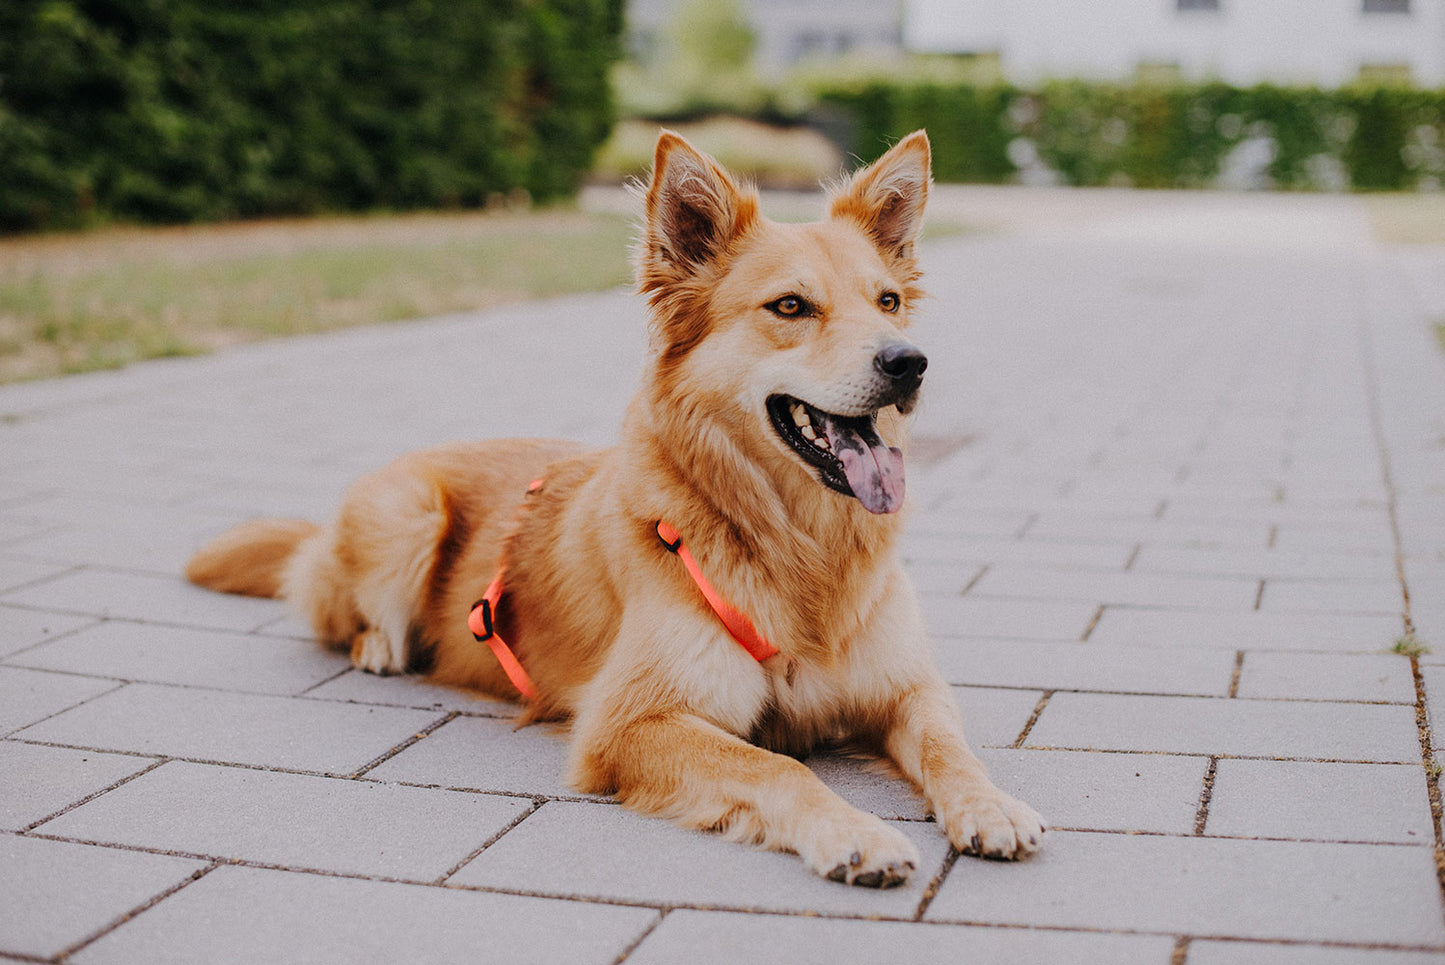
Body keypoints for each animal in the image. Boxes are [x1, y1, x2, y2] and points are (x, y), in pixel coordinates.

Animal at [189, 130, 1051, 889]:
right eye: (790, 307)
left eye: (888, 301)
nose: (908, 363)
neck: (792, 544)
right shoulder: (629, 721)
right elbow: (774, 763)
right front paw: (853, 832)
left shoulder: (908, 688)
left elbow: (949, 746)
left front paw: (989, 804)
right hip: (407, 513)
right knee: (348, 614)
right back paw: (377, 646)